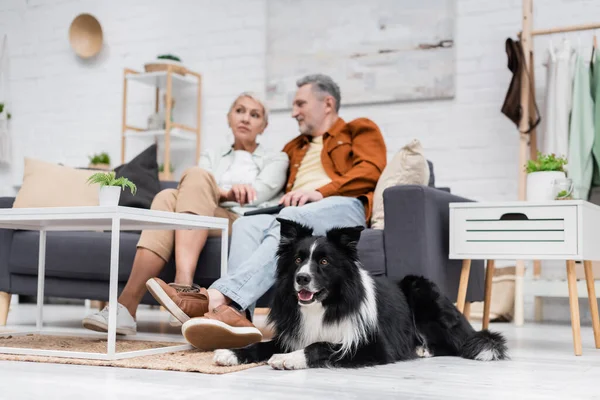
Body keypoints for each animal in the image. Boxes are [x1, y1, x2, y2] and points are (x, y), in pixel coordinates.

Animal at [213, 219, 508, 368]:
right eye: (297, 259)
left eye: (324, 261)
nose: (301, 279)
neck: (324, 305)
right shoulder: (294, 333)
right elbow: (261, 344)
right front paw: (231, 353)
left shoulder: (373, 345)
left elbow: (321, 345)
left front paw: (289, 358)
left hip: (421, 290)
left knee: (454, 344)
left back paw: (423, 349)